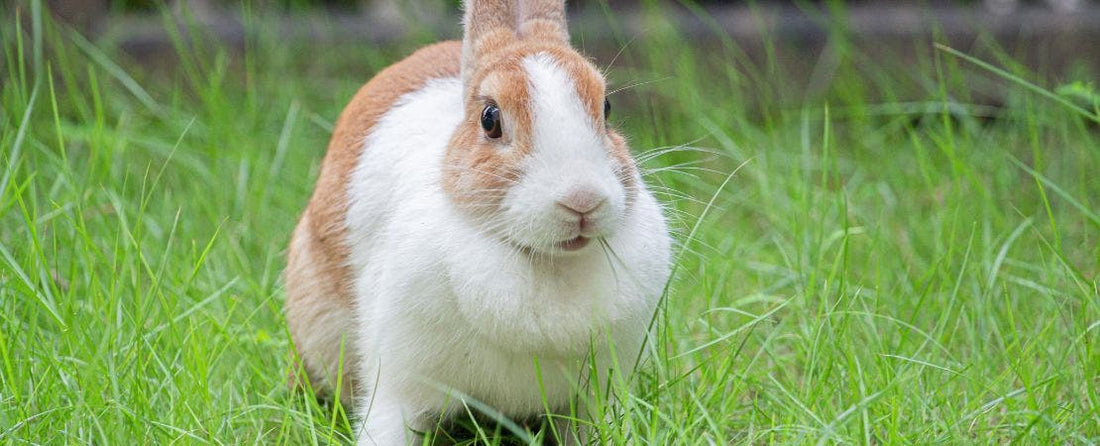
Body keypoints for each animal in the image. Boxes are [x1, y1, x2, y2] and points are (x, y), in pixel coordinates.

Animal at [284, 0, 672, 443]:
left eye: (606, 108)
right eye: (490, 119)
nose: (582, 200)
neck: (545, 259)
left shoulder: (596, 392)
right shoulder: (398, 384)